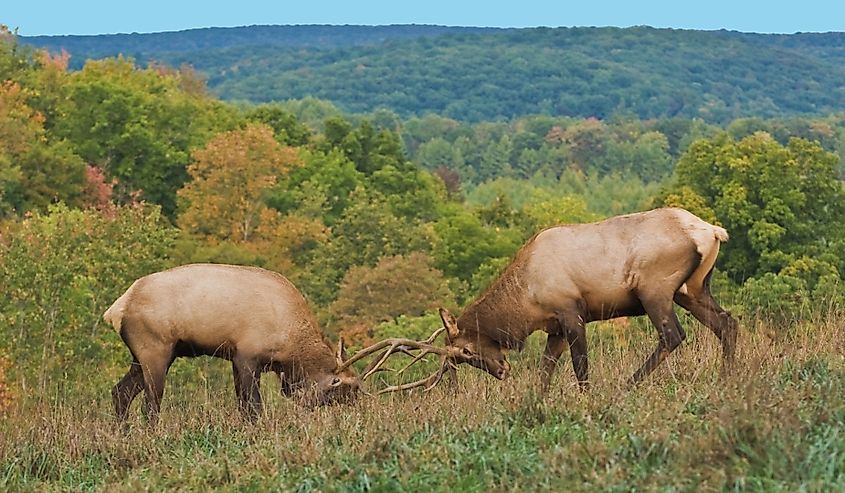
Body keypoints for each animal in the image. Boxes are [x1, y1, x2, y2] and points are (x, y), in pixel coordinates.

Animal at [103, 262, 360, 422]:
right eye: (339, 386)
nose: (353, 410)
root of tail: (116, 310)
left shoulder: (236, 360)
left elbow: (243, 406)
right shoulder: (247, 357)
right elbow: (253, 407)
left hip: (144, 357)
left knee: (120, 392)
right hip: (156, 353)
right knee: (150, 405)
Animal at [342, 207, 740, 392]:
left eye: (466, 351)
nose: (500, 371)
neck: (525, 300)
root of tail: (711, 231)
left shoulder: (571, 312)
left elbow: (580, 367)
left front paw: (586, 396)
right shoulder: (554, 328)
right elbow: (546, 370)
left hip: (655, 289)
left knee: (673, 335)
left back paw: (629, 383)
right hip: (692, 290)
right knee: (727, 322)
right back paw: (725, 377)